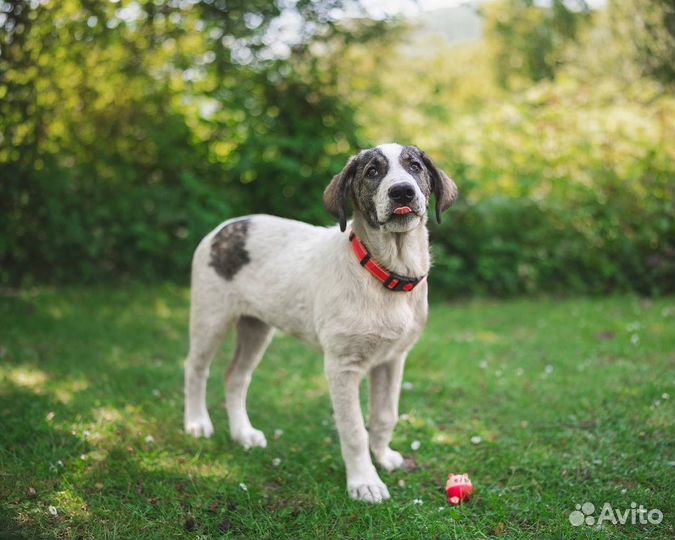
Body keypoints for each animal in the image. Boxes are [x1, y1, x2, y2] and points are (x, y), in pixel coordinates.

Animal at [185, 142, 460, 502]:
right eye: (372, 172)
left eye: (415, 166)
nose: (402, 192)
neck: (383, 273)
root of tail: (225, 226)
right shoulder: (342, 366)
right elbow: (354, 429)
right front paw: (364, 482)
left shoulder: (392, 359)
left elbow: (385, 416)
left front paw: (383, 457)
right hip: (210, 316)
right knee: (196, 368)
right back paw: (196, 423)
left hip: (256, 326)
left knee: (236, 377)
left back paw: (243, 433)